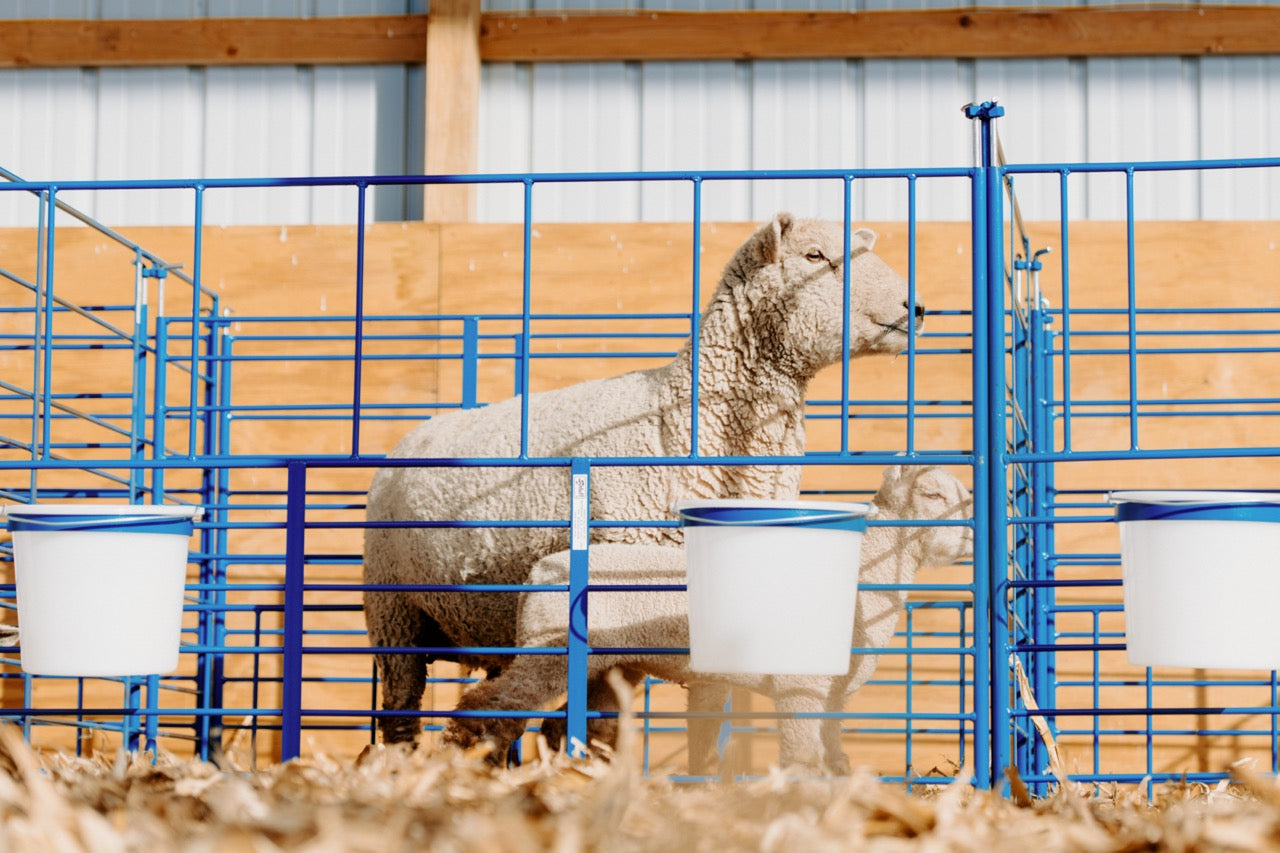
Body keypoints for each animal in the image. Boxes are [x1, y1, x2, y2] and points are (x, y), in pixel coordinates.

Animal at [363, 213, 921, 747]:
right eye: (814, 255)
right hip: (394, 613)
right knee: (402, 711)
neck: (679, 419)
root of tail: (411, 435)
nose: (914, 307)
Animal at [448, 465, 972, 772]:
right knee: (502, 700)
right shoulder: (798, 684)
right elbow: (802, 753)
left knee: (565, 726)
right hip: (550, 647)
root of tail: (540, 571)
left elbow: (834, 755)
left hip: (606, 665)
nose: (970, 536)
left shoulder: (832, 694)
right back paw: (473, 751)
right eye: (933, 495)